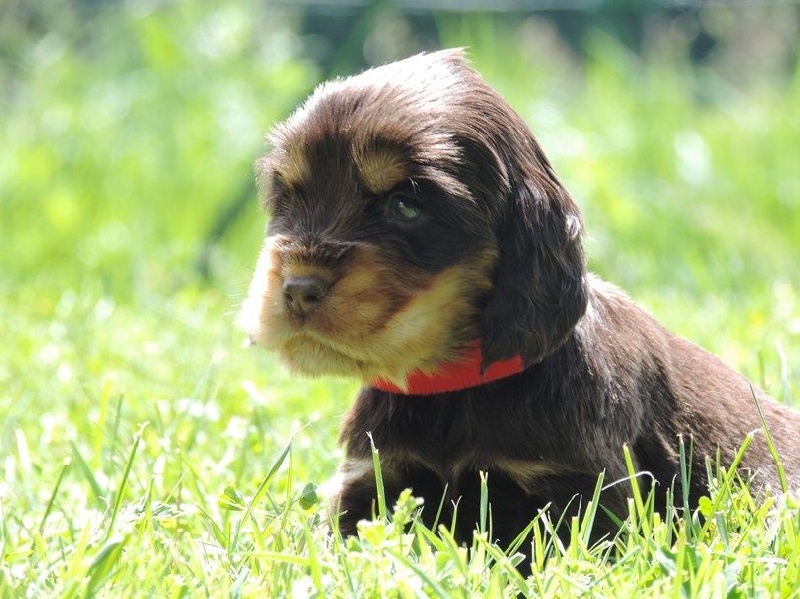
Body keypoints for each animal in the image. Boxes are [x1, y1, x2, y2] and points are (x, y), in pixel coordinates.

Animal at [242, 49, 800, 552]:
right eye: (290, 197)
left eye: (405, 206)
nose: (298, 288)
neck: (454, 385)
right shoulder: (372, 478)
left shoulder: (583, 496)